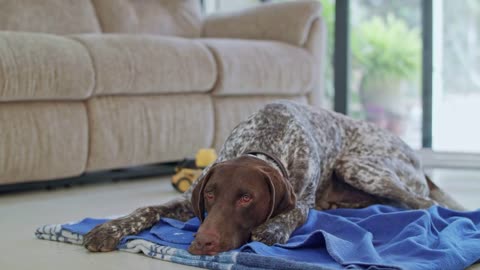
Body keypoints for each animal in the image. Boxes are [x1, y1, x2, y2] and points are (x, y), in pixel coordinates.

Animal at [81, 100, 462, 255]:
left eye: (246, 198)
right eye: (210, 195)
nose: (202, 243)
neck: (266, 138)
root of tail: (416, 157)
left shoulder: (303, 200)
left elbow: (291, 213)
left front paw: (272, 229)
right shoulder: (188, 199)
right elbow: (147, 209)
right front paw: (108, 228)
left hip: (358, 166)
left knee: (423, 203)